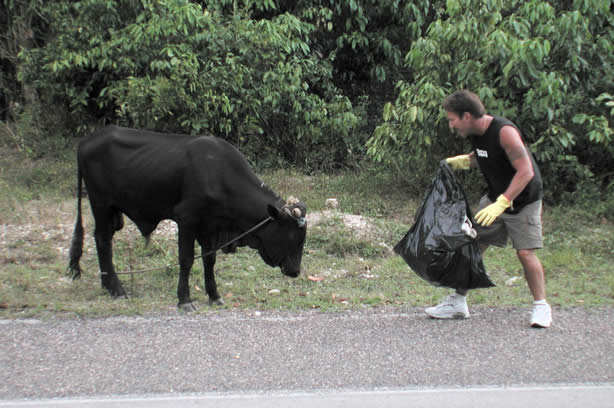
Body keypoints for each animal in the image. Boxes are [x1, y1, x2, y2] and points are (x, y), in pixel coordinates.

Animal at [68, 126, 308, 310]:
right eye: (290, 236)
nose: (295, 271)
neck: (220, 175)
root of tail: (87, 141)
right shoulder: (186, 219)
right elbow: (186, 259)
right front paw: (184, 299)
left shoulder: (210, 227)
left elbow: (209, 260)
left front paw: (214, 295)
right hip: (100, 204)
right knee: (102, 240)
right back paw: (116, 288)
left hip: (112, 212)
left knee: (103, 239)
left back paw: (107, 284)